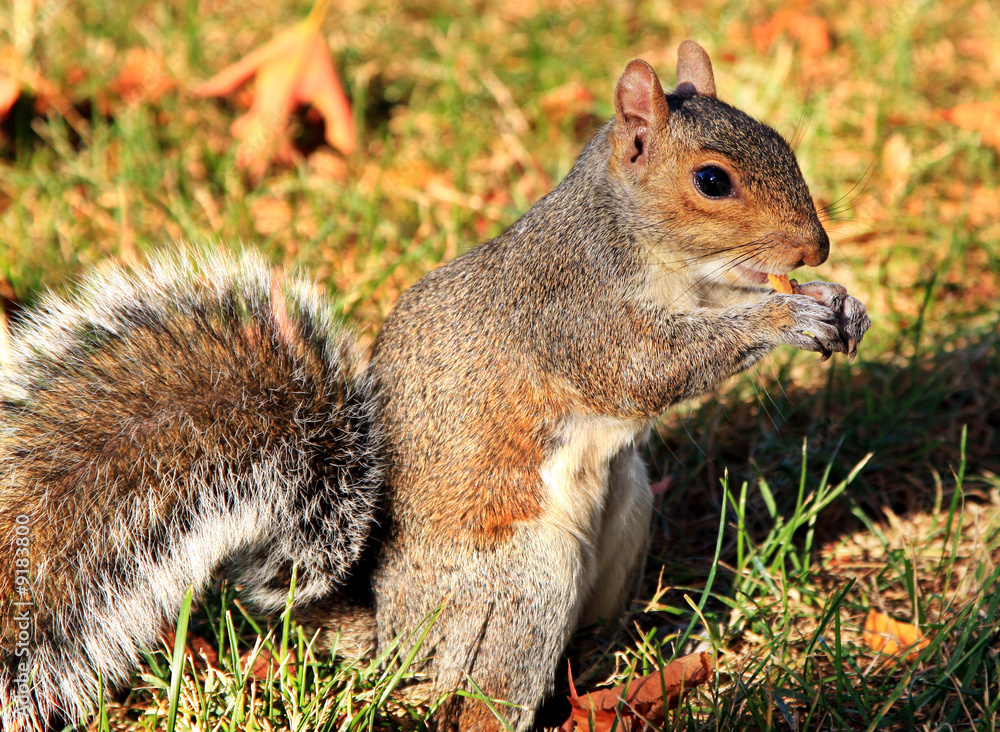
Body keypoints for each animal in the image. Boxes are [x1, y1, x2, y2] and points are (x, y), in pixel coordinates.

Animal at [0, 41, 870, 731]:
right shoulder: (572, 309)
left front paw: (838, 303)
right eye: (712, 180)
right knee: (482, 697)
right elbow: (644, 368)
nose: (816, 247)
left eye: (782, 141)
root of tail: (394, 638)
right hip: (517, 587)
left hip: (624, 521)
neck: (640, 243)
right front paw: (785, 318)